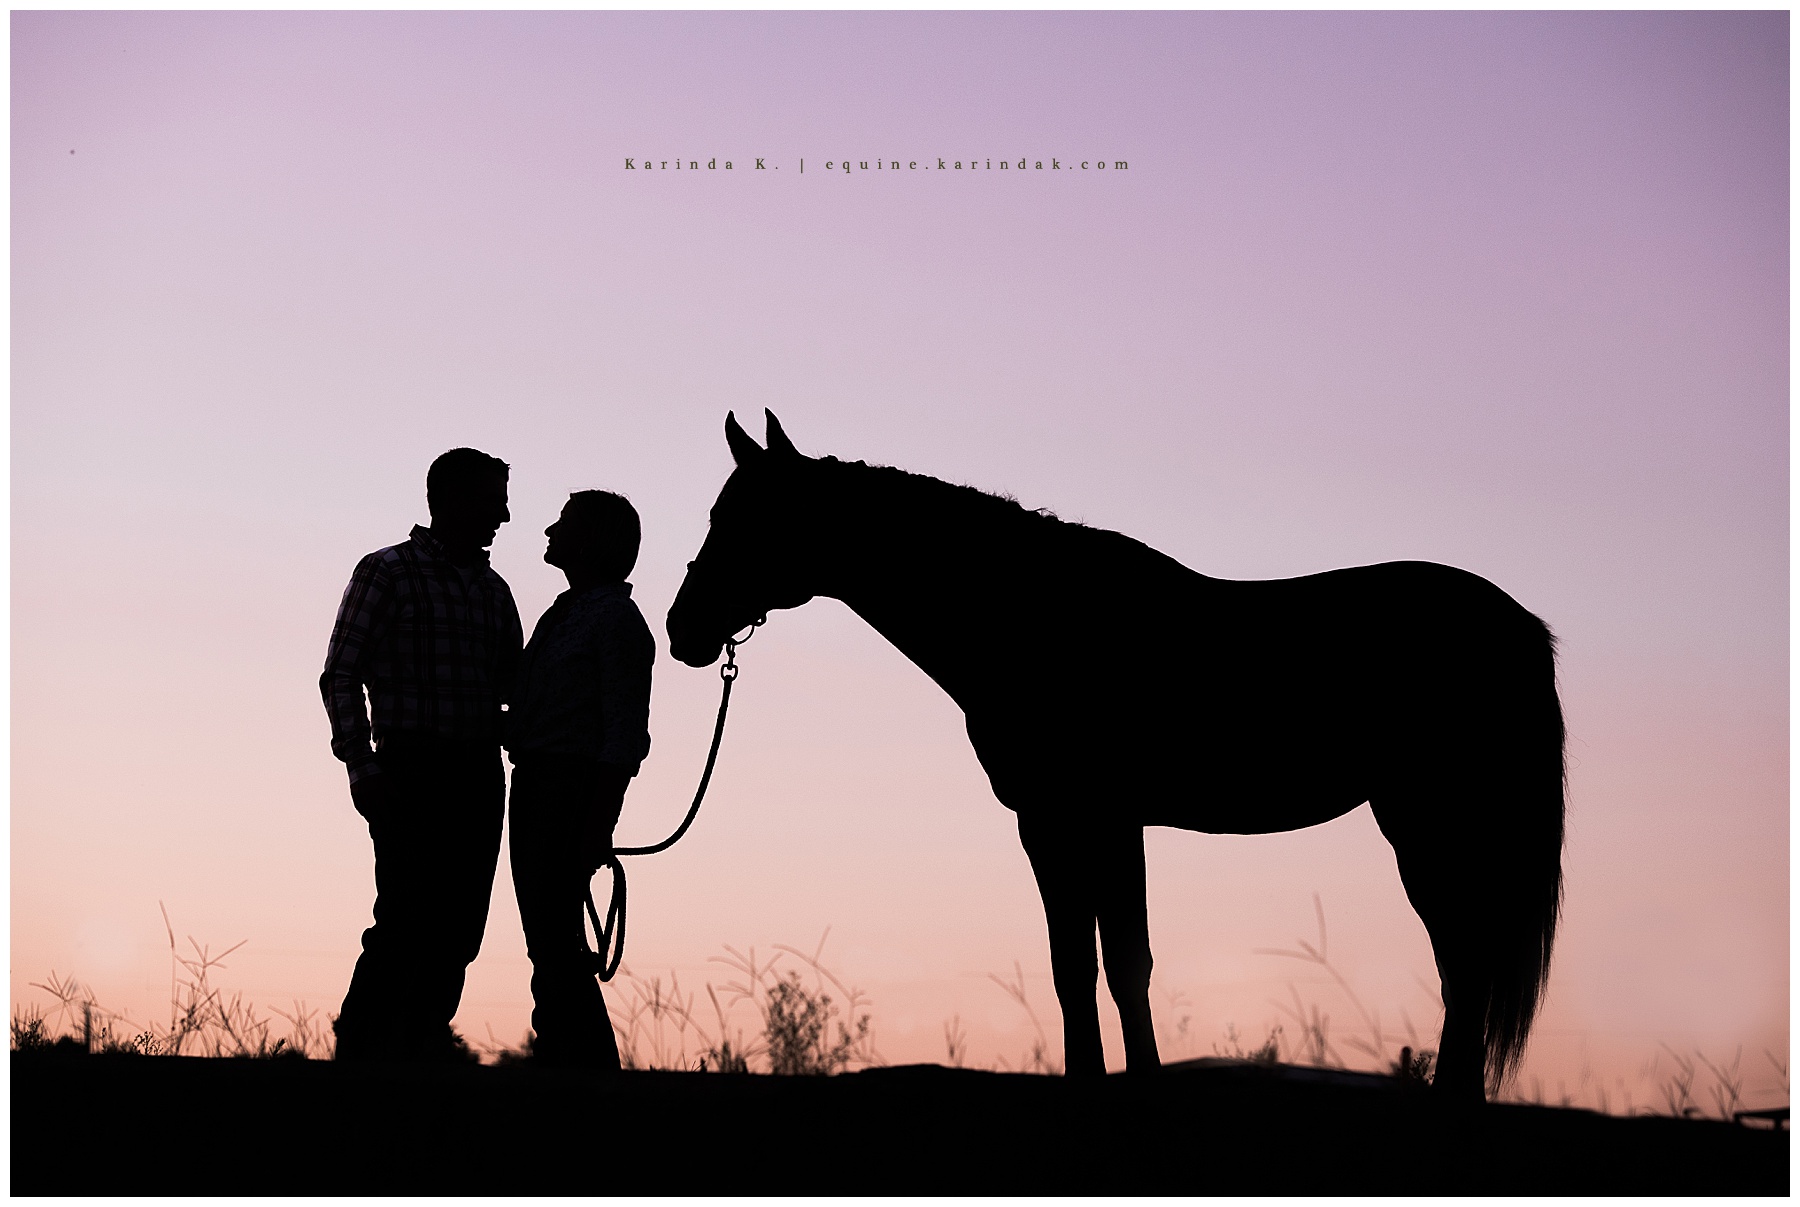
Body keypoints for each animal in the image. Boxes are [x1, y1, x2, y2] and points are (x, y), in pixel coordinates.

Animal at [666, 411, 1565, 1099]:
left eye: (745, 518)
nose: (682, 627)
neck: (1034, 615)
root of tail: (1519, 626)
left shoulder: (1082, 816)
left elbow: (1111, 962)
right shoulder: (1074, 823)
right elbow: (1091, 964)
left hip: (1427, 824)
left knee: (1466, 962)